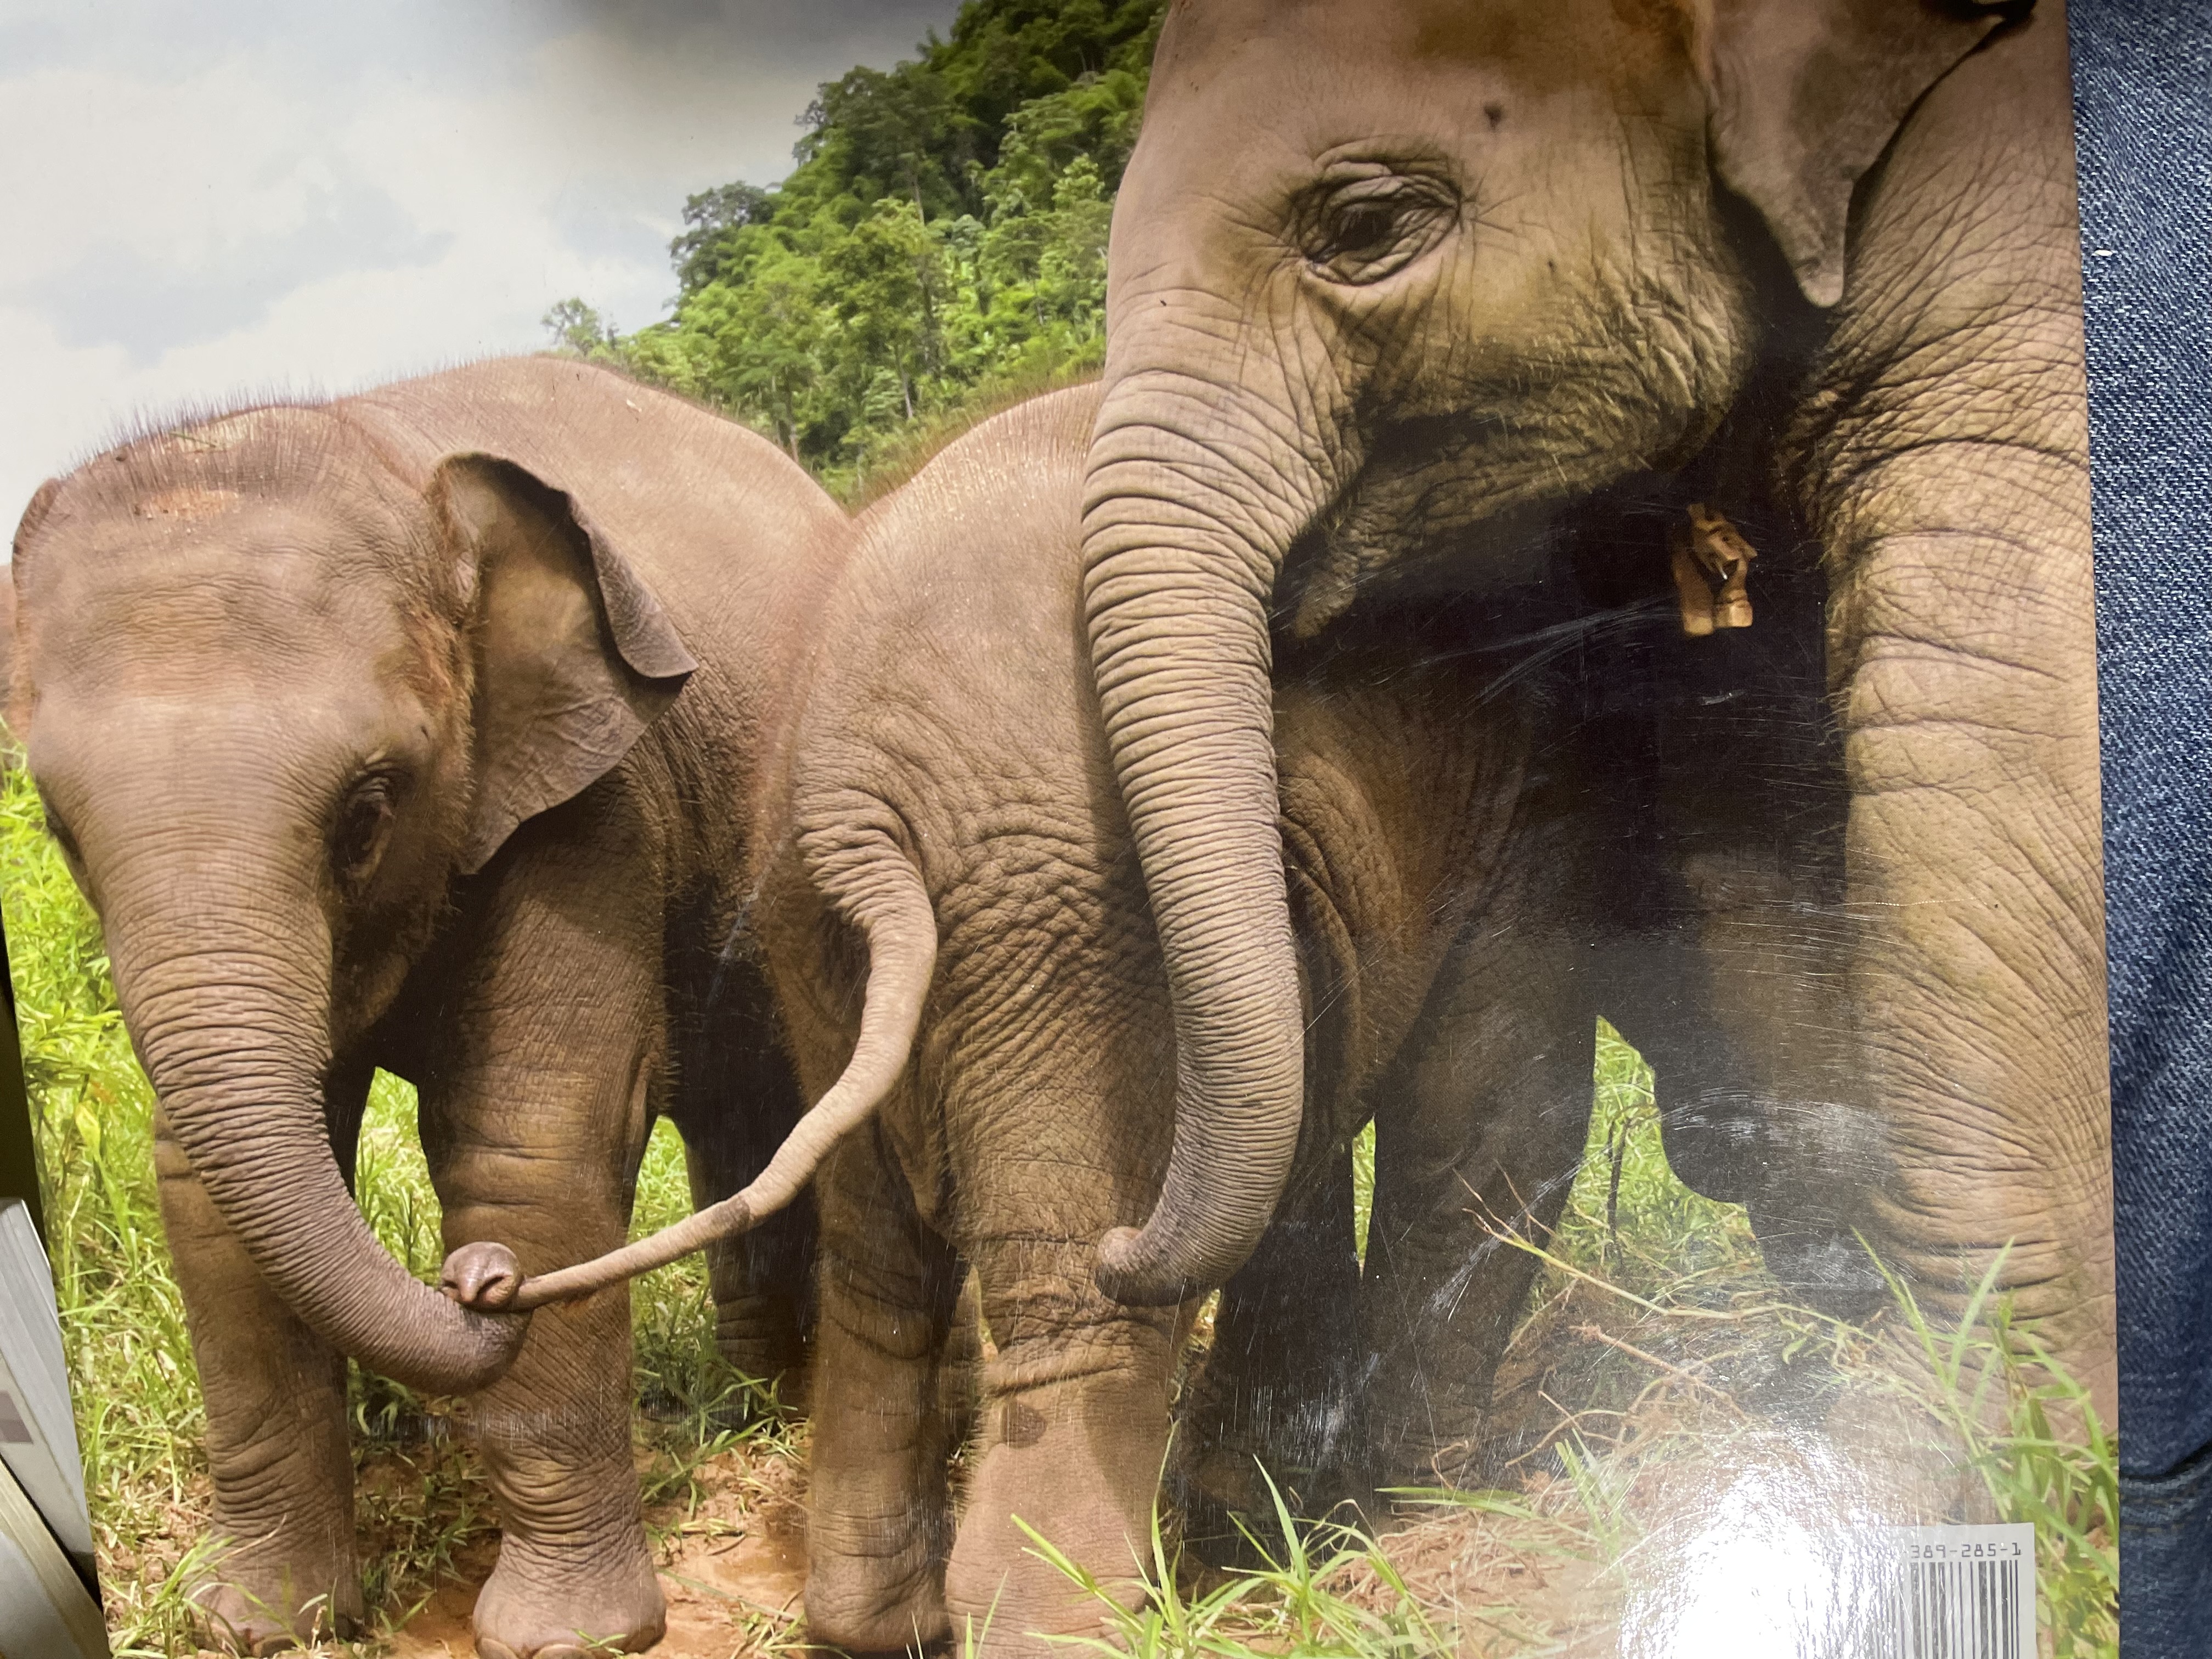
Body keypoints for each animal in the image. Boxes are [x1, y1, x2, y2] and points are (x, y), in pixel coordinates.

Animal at [4, 356, 854, 1658]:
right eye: (57, 828)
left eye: (368, 808)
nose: (479, 1282)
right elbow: (203, 1189)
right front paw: (261, 1624)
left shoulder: (595, 797)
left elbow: (525, 1150)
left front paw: (567, 1641)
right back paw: (753, 1404)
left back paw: (780, 1412)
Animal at [480, 380, 1625, 1655]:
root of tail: (848, 799)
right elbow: (1493, 1111)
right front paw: (1420, 1507)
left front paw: (1278, 1521)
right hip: (1061, 898)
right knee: (1077, 1292)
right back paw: (1061, 1614)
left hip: (822, 920)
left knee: (880, 1265)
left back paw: (872, 1622)